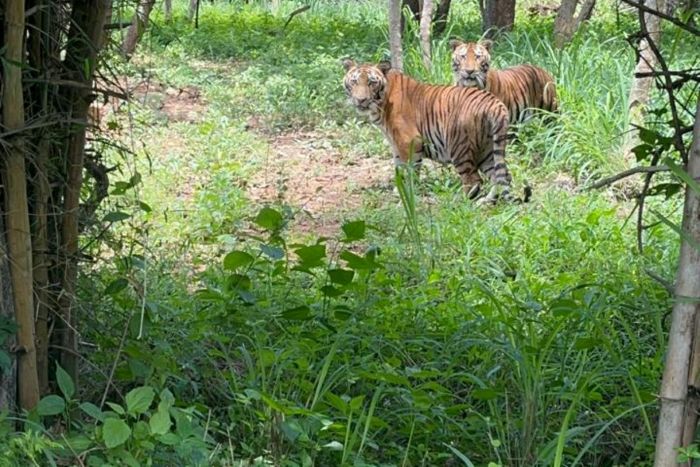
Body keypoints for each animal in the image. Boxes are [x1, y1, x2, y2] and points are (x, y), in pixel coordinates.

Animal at [342, 59, 530, 204]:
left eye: (371, 82)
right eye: (354, 82)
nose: (361, 100)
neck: (381, 104)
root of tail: (496, 104)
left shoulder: (409, 142)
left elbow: (410, 171)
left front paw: (407, 196)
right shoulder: (396, 145)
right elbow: (399, 169)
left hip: (459, 147)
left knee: (473, 180)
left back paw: (460, 203)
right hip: (488, 149)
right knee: (502, 176)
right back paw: (486, 201)